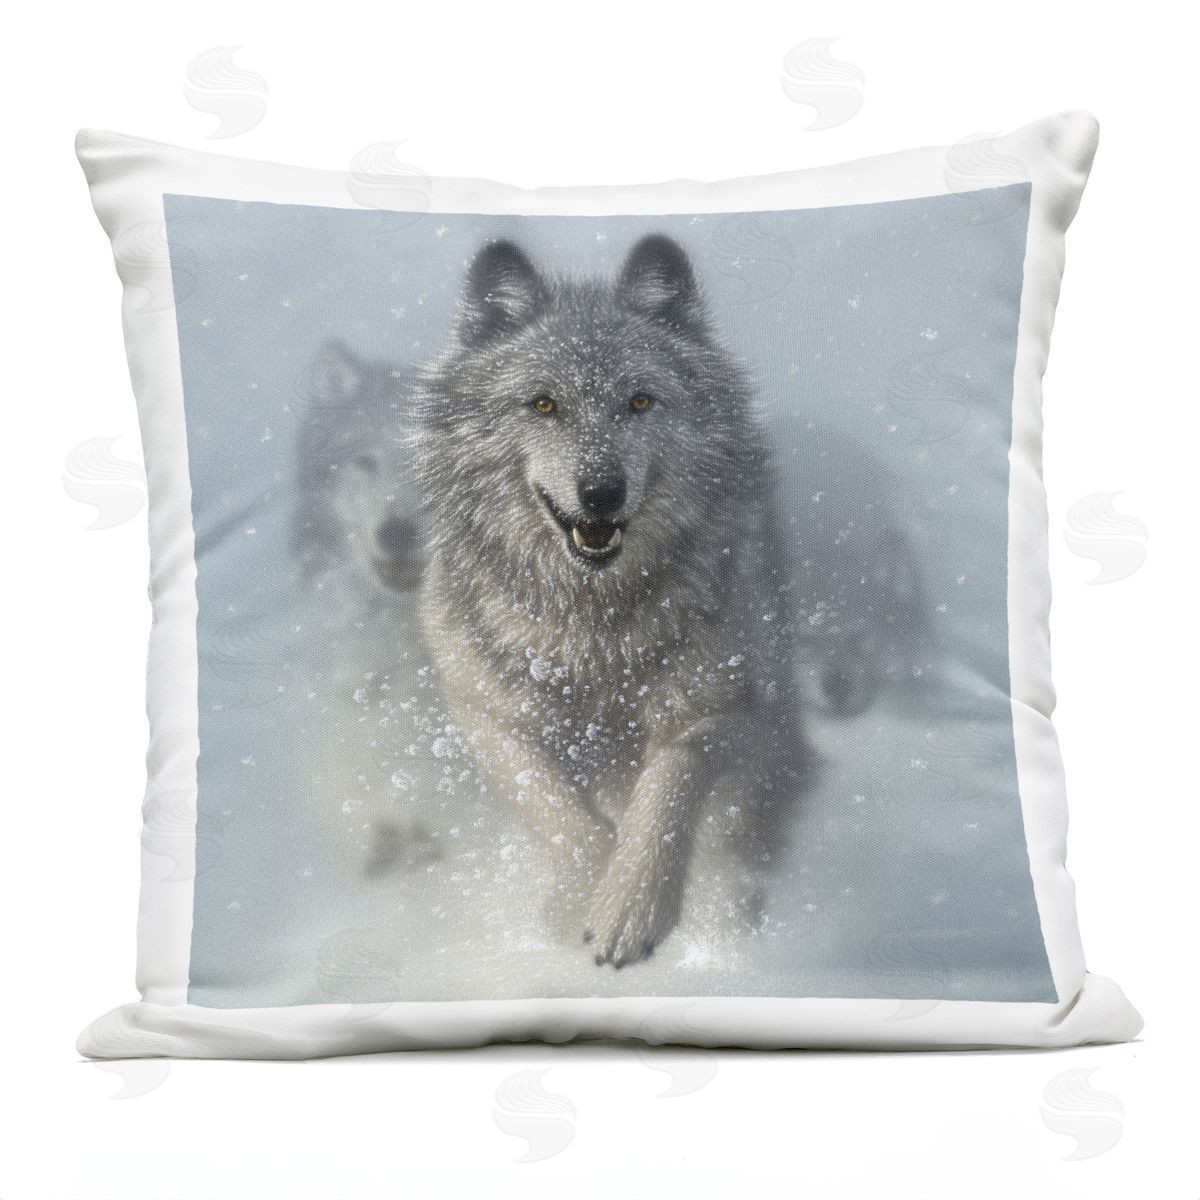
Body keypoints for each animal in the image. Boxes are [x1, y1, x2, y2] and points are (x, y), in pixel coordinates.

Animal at [410, 234, 803, 968]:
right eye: (543, 405)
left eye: (641, 402)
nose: (600, 492)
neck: (592, 629)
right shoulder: (484, 714)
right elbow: (556, 808)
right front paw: (583, 896)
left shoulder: (736, 708)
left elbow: (672, 776)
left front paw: (630, 906)